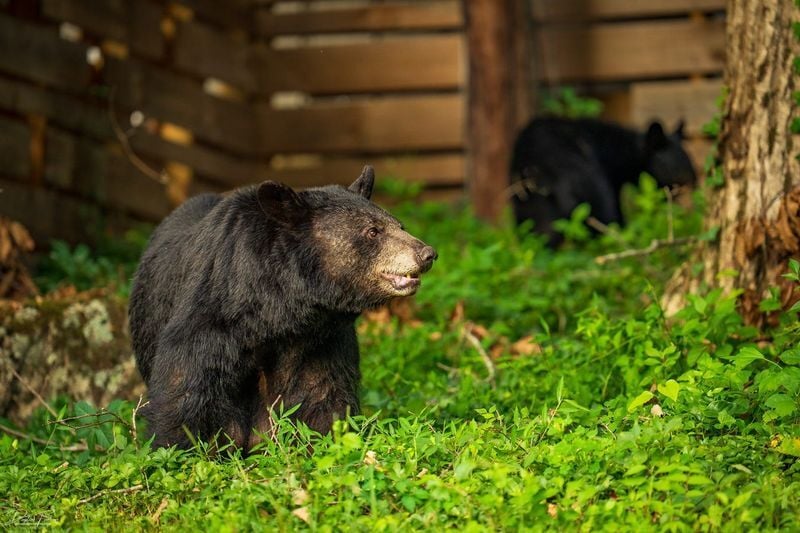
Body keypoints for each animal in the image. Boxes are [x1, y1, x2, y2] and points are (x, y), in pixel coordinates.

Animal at [128, 166, 437, 452]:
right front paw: (179, 446)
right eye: (373, 231)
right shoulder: (213, 318)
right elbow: (186, 391)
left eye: (399, 225)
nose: (427, 254)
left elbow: (323, 398)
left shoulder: (322, 344)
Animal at [509, 117, 697, 247]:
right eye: (678, 180)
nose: (695, 186)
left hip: (527, 197)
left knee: (540, 231)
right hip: (585, 181)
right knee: (604, 214)